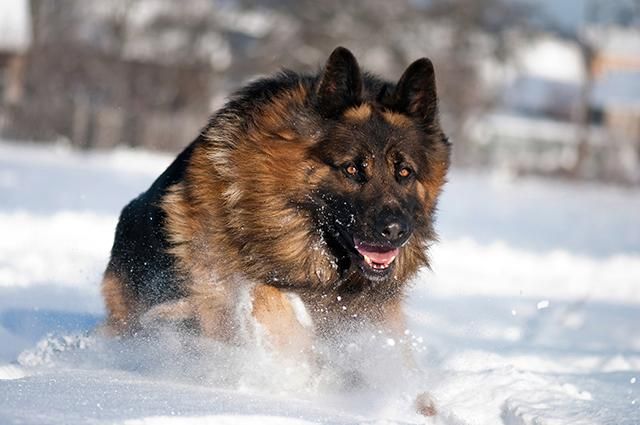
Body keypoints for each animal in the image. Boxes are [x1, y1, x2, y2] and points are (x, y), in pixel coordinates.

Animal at [101, 47, 450, 414]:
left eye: (404, 172)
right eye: (353, 169)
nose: (396, 230)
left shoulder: (376, 315)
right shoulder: (222, 285)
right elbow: (269, 300)